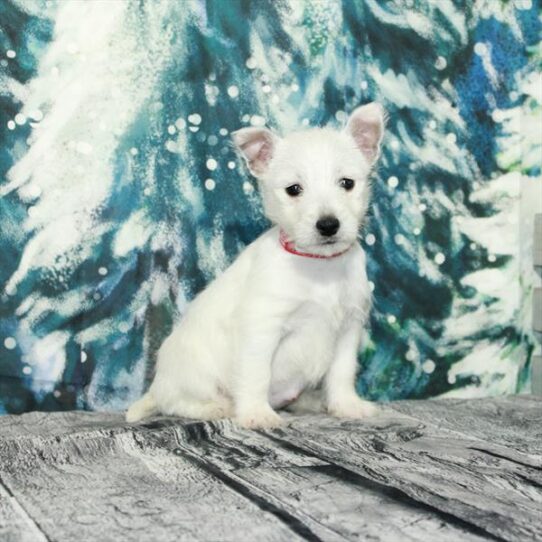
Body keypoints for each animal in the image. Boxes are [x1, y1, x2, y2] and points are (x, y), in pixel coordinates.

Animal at [127, 104, 386, 432]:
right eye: (294, 189)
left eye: (347, 183)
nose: (328, 225)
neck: (318, 266)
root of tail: (158, 384)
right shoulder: (262, 329)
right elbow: (256, 374)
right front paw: (256, 413)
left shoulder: (348, 329)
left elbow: (342, 373)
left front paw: (347, 405)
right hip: (192, 375)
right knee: (176, 402)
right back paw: (216, 407)